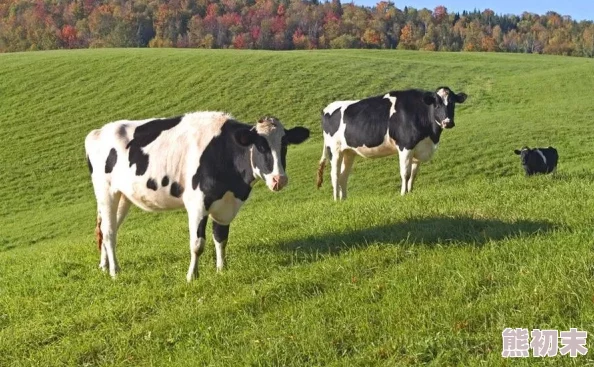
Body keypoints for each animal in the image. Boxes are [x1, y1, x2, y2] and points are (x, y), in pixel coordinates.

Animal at [86, 112, 310, 282]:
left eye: (284, 144)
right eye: (260, 146)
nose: (279, 179)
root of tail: (97, 132)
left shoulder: (225, 204)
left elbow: (221, 238)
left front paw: (221, 269)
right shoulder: (197, 203)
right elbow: (197, 244)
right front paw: (192, 276)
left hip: (123, 196)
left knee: (107, 227)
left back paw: (104, 265)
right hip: (106, 192)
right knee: (108, 232)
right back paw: (115, 271)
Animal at [316, 87, 464, 200]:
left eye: (452, 103)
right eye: (437, 105)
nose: (448, 122)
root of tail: (327, 108)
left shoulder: (418, 148)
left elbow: (413, 175)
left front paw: (410, 192)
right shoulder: (405, 146)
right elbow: (405, 173)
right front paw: (403, 194)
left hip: (348, 152)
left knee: (343, 176)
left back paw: (344, 200)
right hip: (334, 150)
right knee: (335, 176)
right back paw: (336, 200)